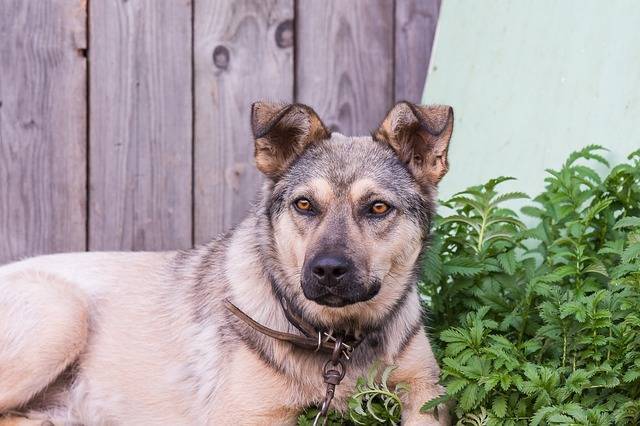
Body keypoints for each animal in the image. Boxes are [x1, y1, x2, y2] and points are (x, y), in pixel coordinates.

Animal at [0, 101, 452, 424]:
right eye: (304, 205)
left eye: (378, 208)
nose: (326, 270)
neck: (338, 340)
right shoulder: (246, 415)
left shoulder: (426, 391)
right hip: (59, 314)